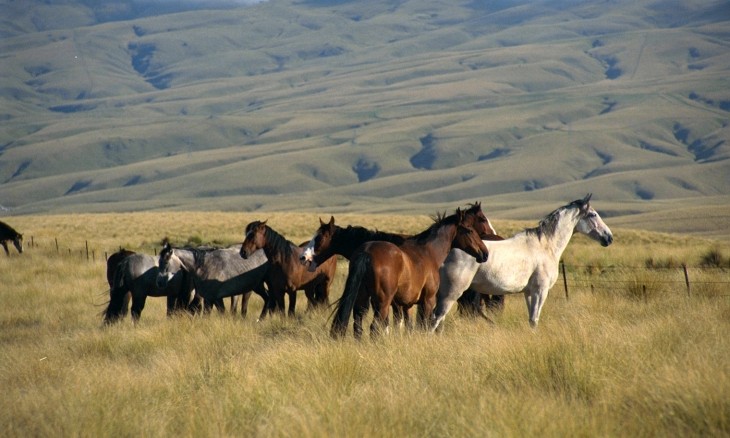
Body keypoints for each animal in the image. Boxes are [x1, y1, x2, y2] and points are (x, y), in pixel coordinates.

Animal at [330, 209, 490, 338]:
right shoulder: (428, 301)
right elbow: (425, 325)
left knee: (358, 326)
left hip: (362, 300)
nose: (485, 253)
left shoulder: (407, 305)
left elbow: (409, 326)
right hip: (382, 303)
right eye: (469, 230)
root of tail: (367, 251)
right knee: (374, 327)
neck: (429, 253)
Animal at [430, 193, 612, 330]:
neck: (545, 246)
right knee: (435, 319)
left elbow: (531, 319)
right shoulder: (540, 291)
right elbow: (534, 319)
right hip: (451, 293)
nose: (608, 237)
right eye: (593, 214)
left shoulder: (529, 292)